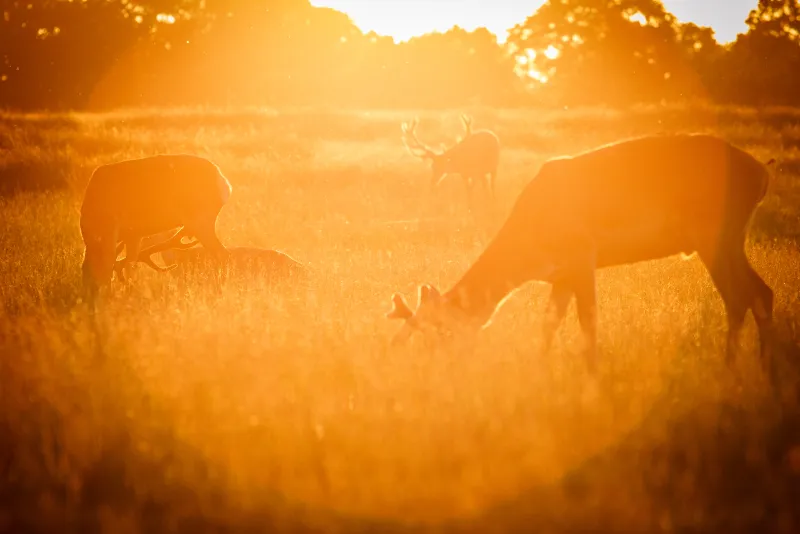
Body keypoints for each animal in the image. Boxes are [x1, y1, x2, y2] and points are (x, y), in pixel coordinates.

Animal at [80, 154, 232, 299]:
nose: (89, 297)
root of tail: (225, 182)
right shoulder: (134, 234)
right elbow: (130, 266)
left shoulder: (111, 230)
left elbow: (111, 264)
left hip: (200, 220)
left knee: (222, 254)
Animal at [386, 133, 776, 384]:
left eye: (440, 331)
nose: (435, 373)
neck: (528, 248)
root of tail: (763, 174)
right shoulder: (560, 274)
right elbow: (549, 322)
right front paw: (540, 372)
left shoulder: (582, 253)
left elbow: (588, 320)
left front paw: (592, 377)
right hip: (730, 239)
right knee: (762, 292)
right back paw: (763, 370)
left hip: (715, 234)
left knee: (739, 296)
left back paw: (730, 370)